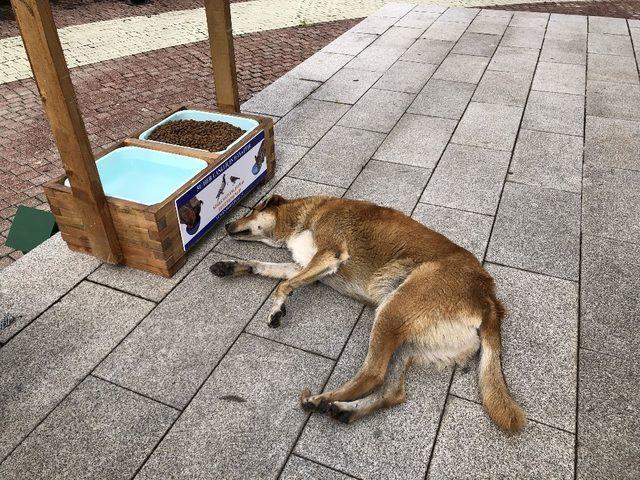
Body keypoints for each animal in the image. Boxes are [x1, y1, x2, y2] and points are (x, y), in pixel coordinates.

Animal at [210, 194, 524, 432]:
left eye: (253, 210)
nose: (226, 225)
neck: (309, 213)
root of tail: (489, 299)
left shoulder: (327, 256)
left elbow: (283, 285)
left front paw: (276, 308)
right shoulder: (305, 266)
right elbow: (268, 269)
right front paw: (231, 266)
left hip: (393, 310)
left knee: (372, 374)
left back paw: (322, 400)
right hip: (410, 338)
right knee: (393, 390)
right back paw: (346, 410)